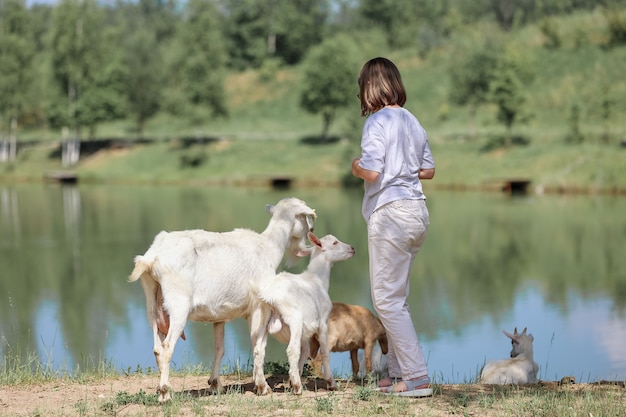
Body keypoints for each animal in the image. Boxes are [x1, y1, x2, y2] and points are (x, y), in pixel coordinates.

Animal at [127, 197, 314, 400]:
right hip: (178, 304)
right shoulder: (259, 306)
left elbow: (219, 349)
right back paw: (164, 393)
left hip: (153, 303)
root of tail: (151, 258)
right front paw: (262, 386)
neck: (269, 247)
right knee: (167, 346)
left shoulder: (219, 316)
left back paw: (164, 388)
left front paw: (215, 384)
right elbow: (259, 346)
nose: (311, 234)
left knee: (157, 347)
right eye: (305, 219)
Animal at [251, 232, 354, 394]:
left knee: (258, 351)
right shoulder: (323, 322)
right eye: (334, 243)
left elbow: (305, 351)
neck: (317, 280)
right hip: (294, 319)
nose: (352, 249)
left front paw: (294, 377)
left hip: (261, 319)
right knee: (292, 350)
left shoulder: (305, 330)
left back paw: (263, 387)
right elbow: (324, 351)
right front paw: (331, 383)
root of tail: (269, 296)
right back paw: (297, 387)